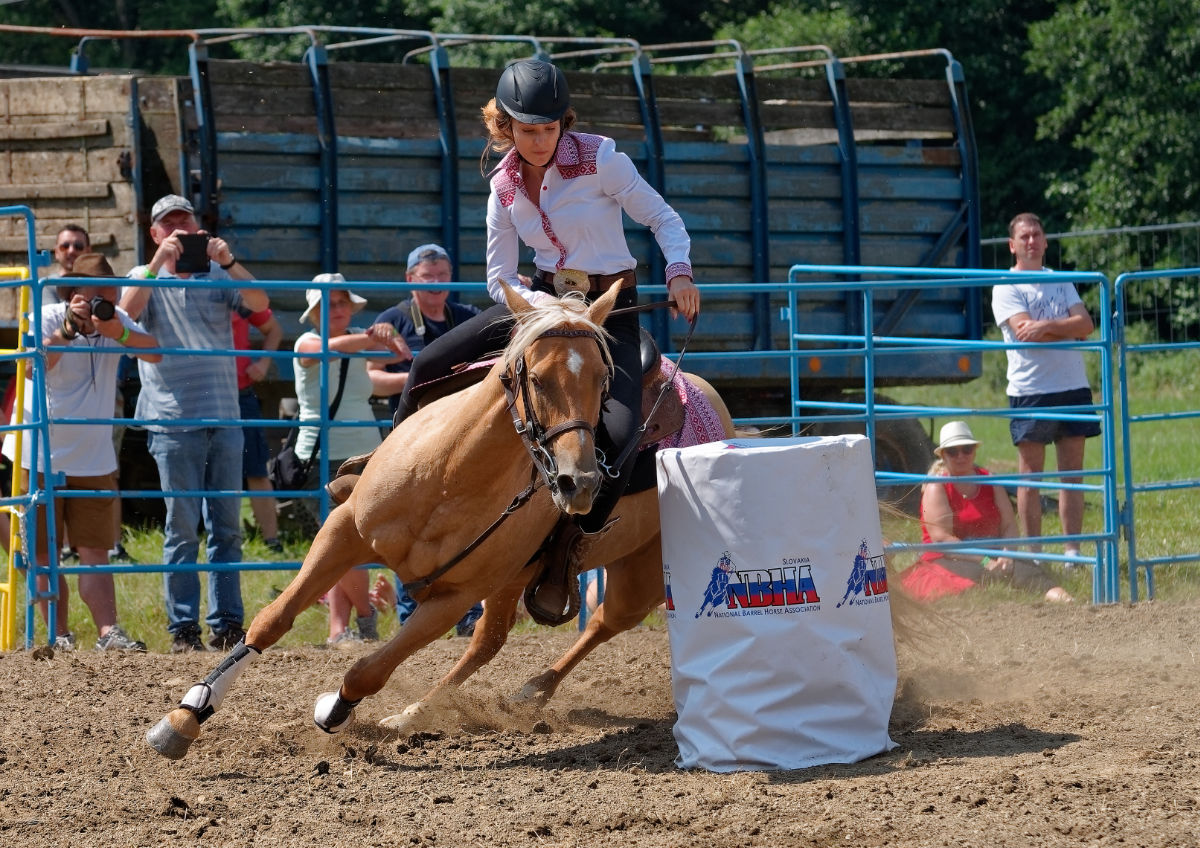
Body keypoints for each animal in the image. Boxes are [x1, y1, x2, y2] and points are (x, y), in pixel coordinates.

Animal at [144, 281, 729, 758]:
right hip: (512, 579)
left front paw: (336, 709)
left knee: (603, 623)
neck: (449, 474)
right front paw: (186, 714)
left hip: (639, 573)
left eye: (605, 380)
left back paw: (501, 697)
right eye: (537, 378)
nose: (578, 483)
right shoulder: (344, 532)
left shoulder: (451, 597)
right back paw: (450, 707)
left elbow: (370, 669)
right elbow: (274, 619)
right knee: (492, 642)